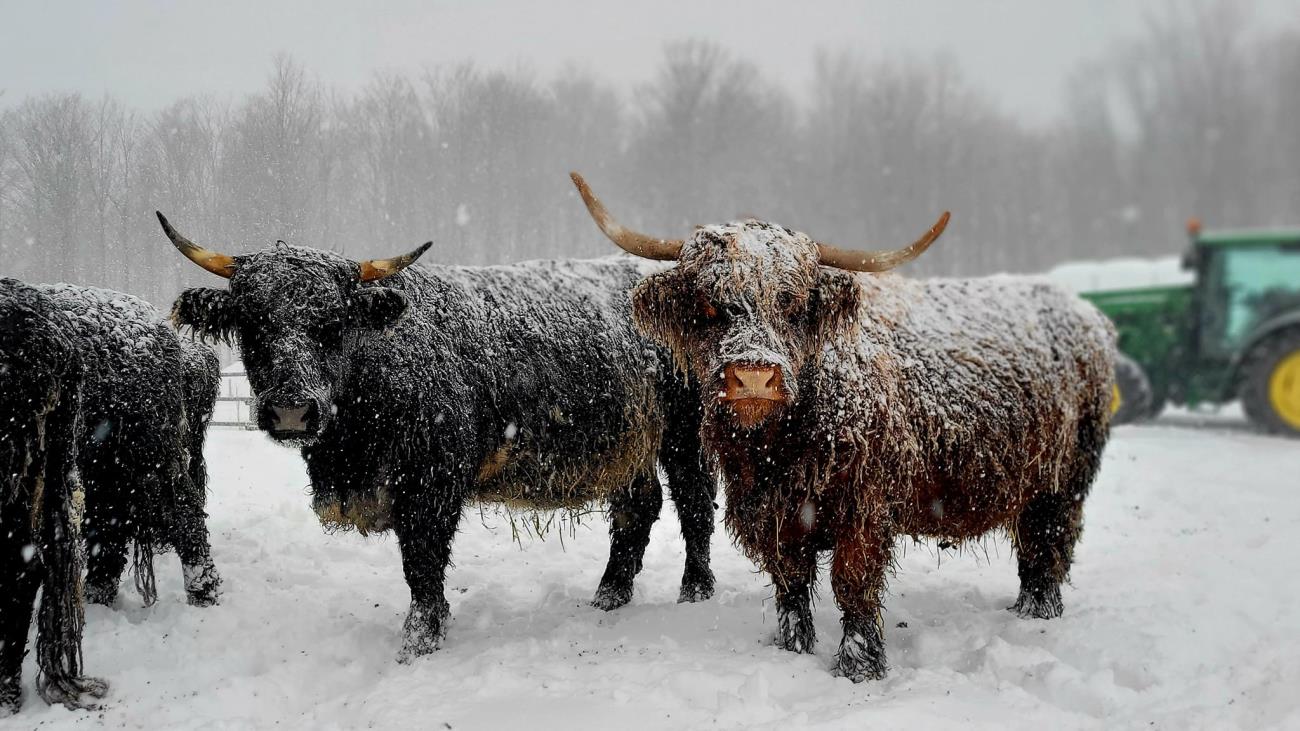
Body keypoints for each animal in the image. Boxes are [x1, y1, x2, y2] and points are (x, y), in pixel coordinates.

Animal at [159, 212, 722, 660]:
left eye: (334, 323)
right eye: (252, 324)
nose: (292, 410)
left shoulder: (432, 481)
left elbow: (422, 560)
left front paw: (421, 636)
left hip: (684, 434)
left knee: (694, 503)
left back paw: (694, 589)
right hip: (629, 445)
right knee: (637, 507)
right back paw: (610, 592)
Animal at [569, 172, 1118, 681]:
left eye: (791, 303)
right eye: (708, 304)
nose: (754, 375)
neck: (779, 447)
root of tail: (1086, 314)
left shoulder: (866, 506)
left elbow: (853, 583)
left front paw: (860, 665)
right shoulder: (774, 513)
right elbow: (791, 582)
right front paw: (792, 648)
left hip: (1065, 478)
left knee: (1050, 543)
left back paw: (1038, 613)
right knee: (1035, 544)